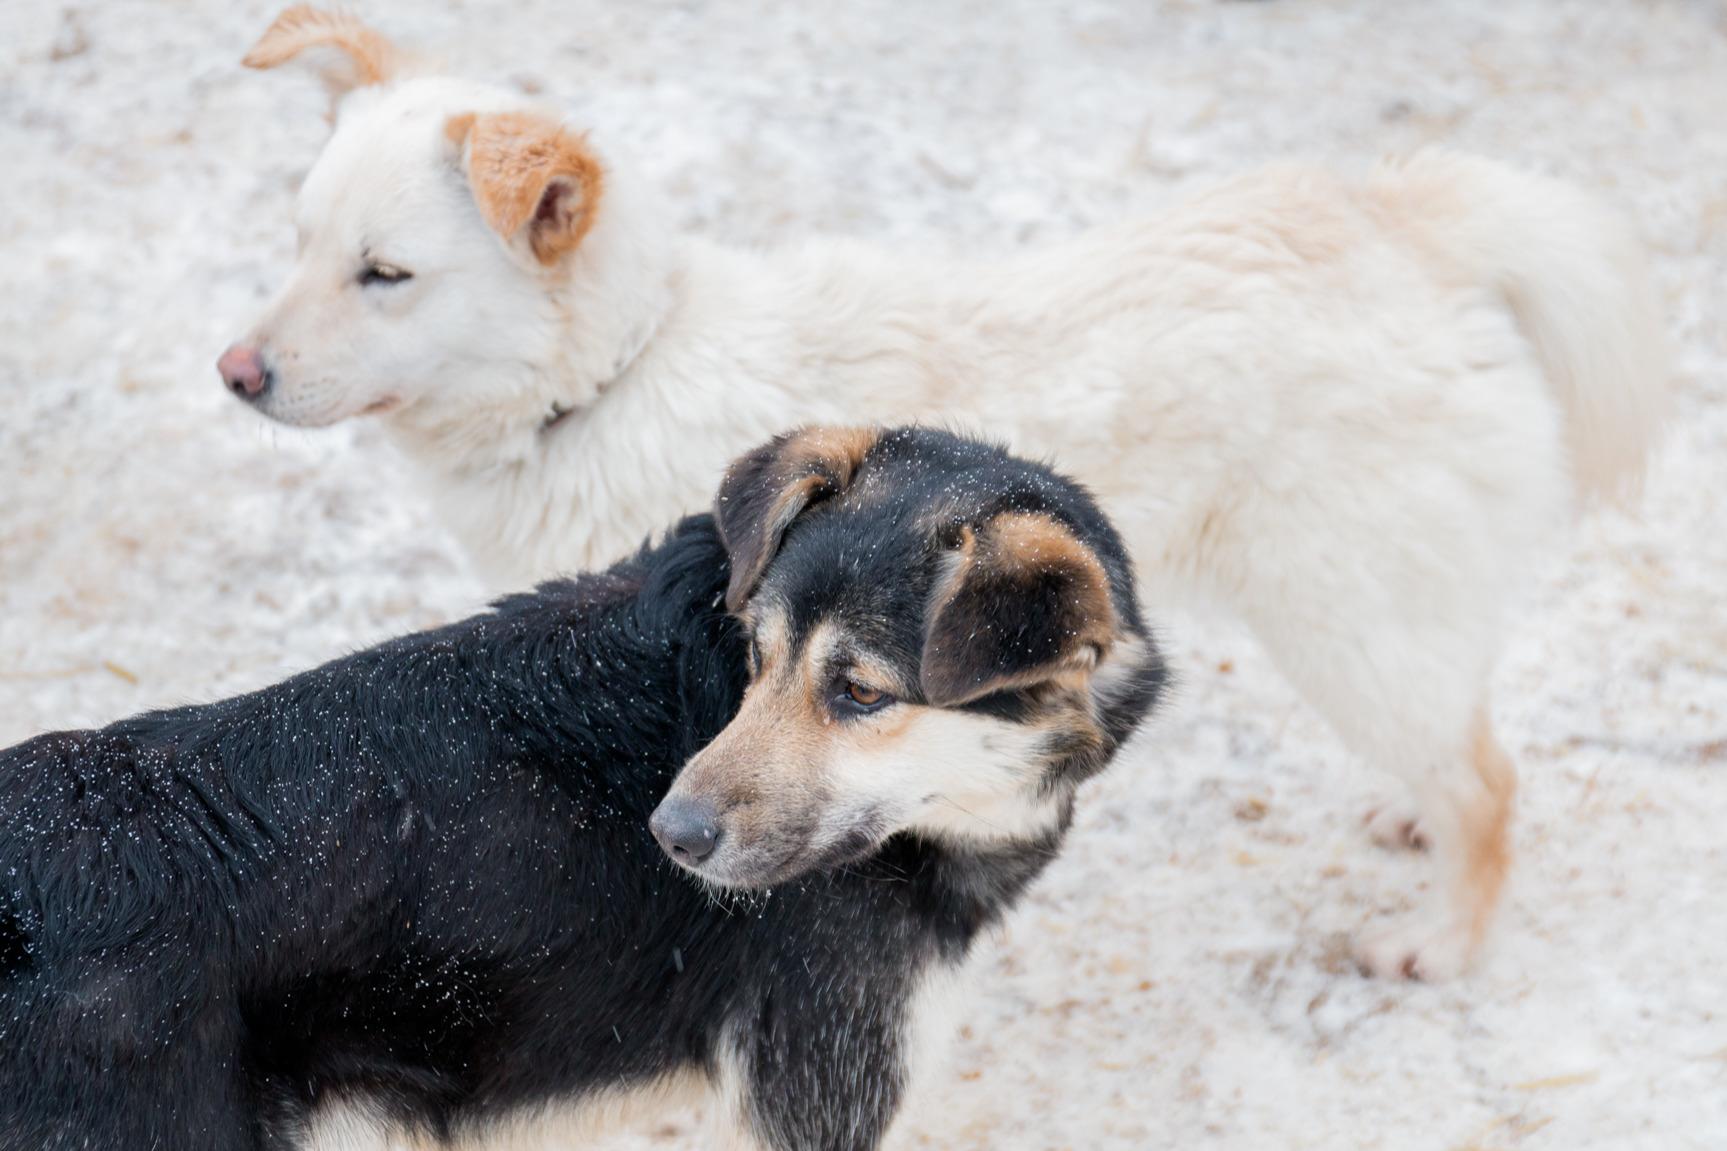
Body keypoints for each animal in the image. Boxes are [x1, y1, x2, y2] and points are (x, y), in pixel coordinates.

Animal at [222, 6, 1664, 974]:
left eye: (386, 274)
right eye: (294, 241)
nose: (235, 373)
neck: (617, 372)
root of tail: (1407, 223)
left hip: (1344, 619)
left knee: (1487, 780)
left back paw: (1440, 936)